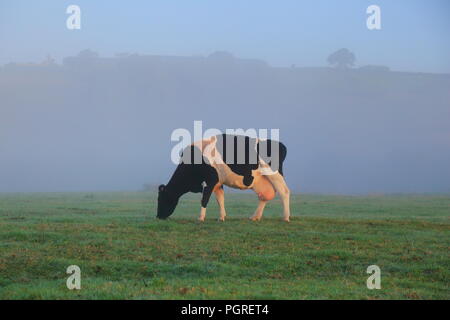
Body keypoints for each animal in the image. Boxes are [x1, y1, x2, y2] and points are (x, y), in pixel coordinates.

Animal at [158, 134, 292, 221]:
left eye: (161, 199)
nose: (158, 216)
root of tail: (280, 144)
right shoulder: (218, 183)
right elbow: (220, 199)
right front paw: (222, 217)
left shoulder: (209, 181)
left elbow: (204, 199)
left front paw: (200, 218)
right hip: (262, 180)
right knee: (264, 196)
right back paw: (255, 217)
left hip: (274, 174)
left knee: (284, 192)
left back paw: (286, 217)